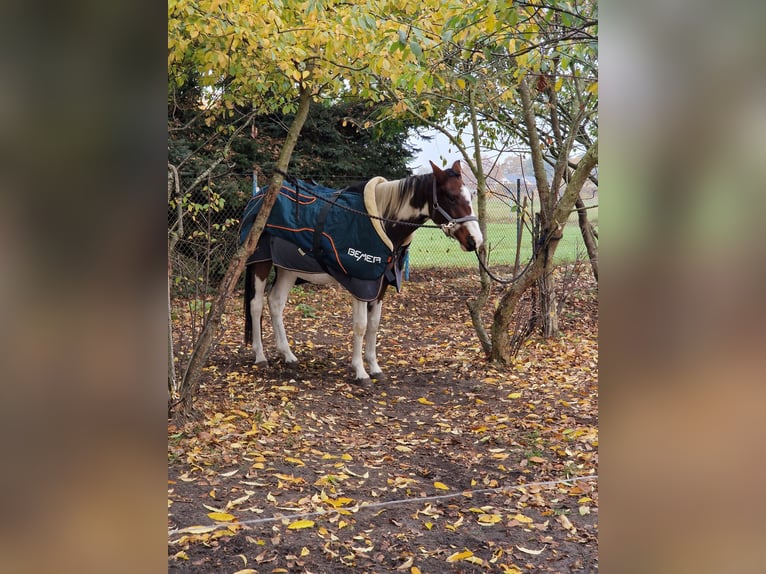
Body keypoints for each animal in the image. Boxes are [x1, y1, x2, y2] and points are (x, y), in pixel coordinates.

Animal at [243, 160, 484, 384]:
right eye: (451, 197)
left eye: (470, 197)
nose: (475, 240)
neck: (383, 224)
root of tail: (259, 196)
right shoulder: (361, 284)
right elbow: (361, 326)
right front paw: (360, 372)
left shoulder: (380, 286)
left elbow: (374, 325)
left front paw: (375, 368)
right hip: (261, 263)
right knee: (256, 305)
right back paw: (260, 356)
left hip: (288, 269)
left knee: (276, 302)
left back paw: (288, 355)